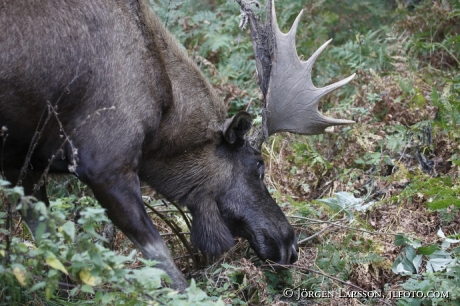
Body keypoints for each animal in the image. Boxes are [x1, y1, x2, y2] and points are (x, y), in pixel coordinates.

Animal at [0, 0, 356, 290]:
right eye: (258, 165)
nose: (290, 242)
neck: (164, 114)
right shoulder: (104, 162)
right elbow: (163, 262)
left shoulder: (23, 166)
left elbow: (51, 252)